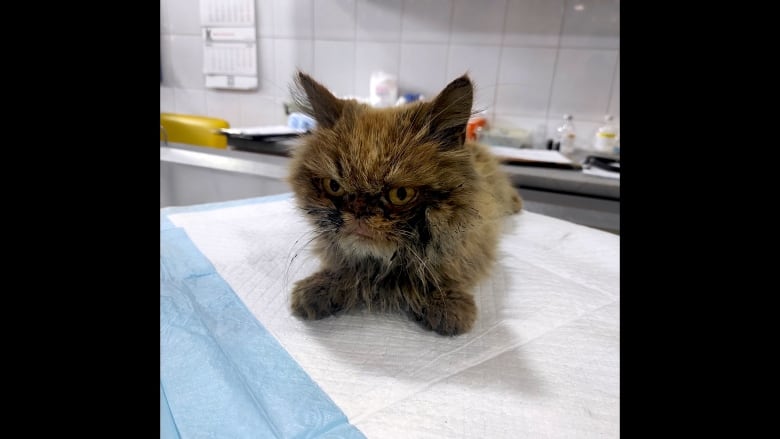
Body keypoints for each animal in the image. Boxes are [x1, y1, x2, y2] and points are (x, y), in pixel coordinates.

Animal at [288, 72, 524, 336]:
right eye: (334, 186)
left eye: (400, 194)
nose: (359, 210)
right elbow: (345, 269)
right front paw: (320, 287)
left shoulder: (476, 239)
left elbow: (445, 270)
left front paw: (446, 303)